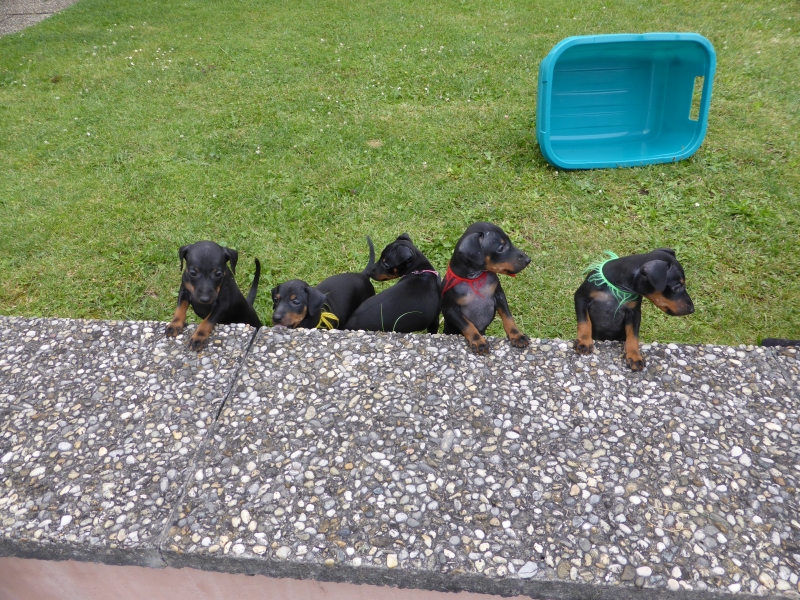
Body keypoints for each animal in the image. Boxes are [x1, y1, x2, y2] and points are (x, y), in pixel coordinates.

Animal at [440, 222, 531, 354]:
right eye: (500, 248)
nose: (528, 260)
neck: (474, 279)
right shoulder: (449, 309)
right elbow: (467, 324)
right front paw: (478, 342)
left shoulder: (499, 295)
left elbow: (508, 317)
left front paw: (517, 335)